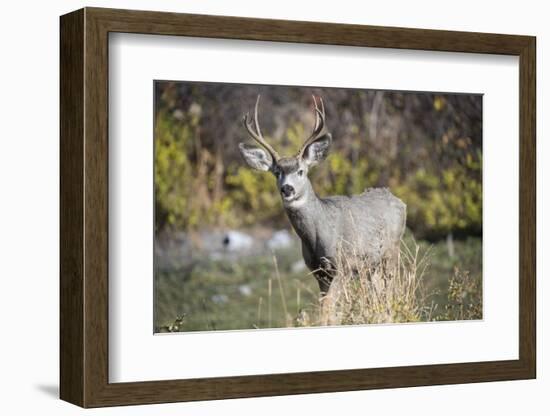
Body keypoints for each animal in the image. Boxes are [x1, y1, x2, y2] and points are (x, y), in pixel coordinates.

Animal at [239, 95, 408, 296]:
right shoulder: (318, 272)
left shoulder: (343, 264)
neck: (319, 234)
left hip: (392, 250)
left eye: (301, 171)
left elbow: (329, 305)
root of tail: (398, 200)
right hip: (372, 264)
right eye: (277, 172)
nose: (287, 189)